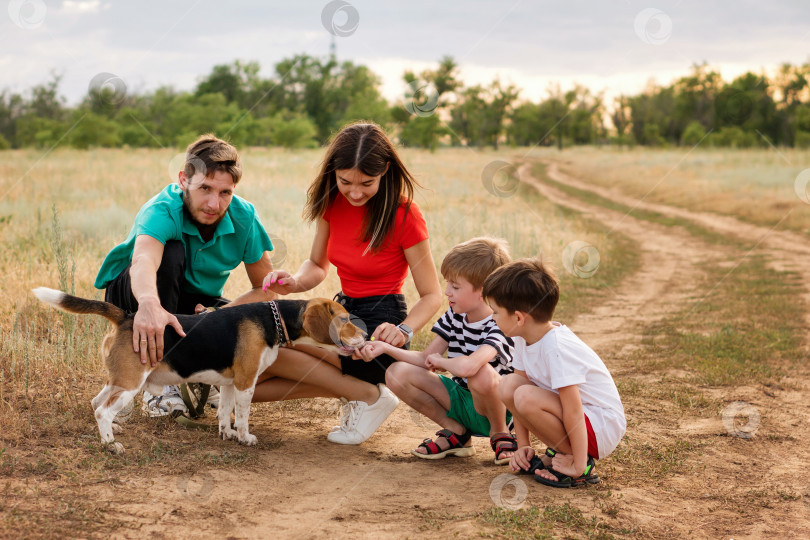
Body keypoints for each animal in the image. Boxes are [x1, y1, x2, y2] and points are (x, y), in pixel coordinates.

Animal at [31, 288, 364, 454]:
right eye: (345, 319)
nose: (364, 336)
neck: (275, 318)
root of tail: (127, 316)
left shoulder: (229, 383)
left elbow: (225, 413)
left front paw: (227, 434)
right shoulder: (246, 382)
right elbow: (243, 415)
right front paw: (245, 438)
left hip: (119, 381)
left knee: (96, 403)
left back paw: (112, 432)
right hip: (130, 383)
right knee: (102, 410)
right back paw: (111, 445)